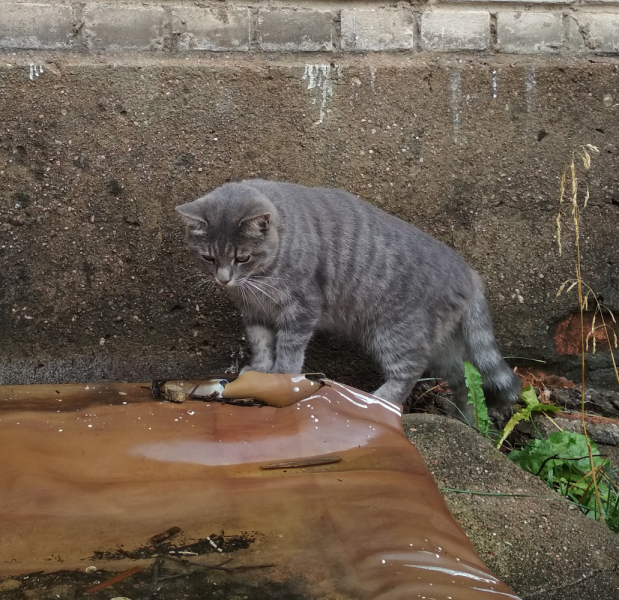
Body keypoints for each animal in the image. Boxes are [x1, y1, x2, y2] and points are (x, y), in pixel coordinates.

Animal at [177, 180, 520, 420]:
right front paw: (260, 370)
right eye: (208, 257)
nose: (223, 279)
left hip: (396, 333)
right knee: (465, 381)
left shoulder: (302, 308)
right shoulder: (255, 313)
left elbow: (289, 347)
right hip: (443, 347)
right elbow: (261, 343)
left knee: (409, 372)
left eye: (243, 257)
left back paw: (376, 400)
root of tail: (469, 273)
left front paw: (280, 375)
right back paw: (467, 420)